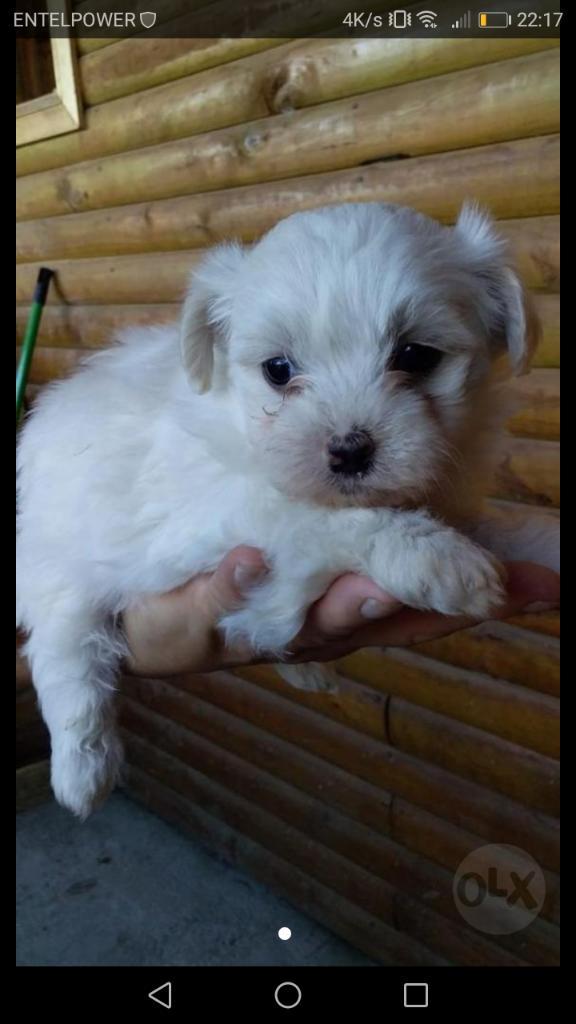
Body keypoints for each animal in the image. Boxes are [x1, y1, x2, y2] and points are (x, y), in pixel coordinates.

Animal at [16, 203, 557, 819]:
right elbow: (323, 518)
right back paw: (82, 770)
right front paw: (434, 557)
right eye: (278, 369)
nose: (349, 451)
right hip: (57, 557)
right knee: (67, 645)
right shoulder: (214, 522)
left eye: (416, 356)